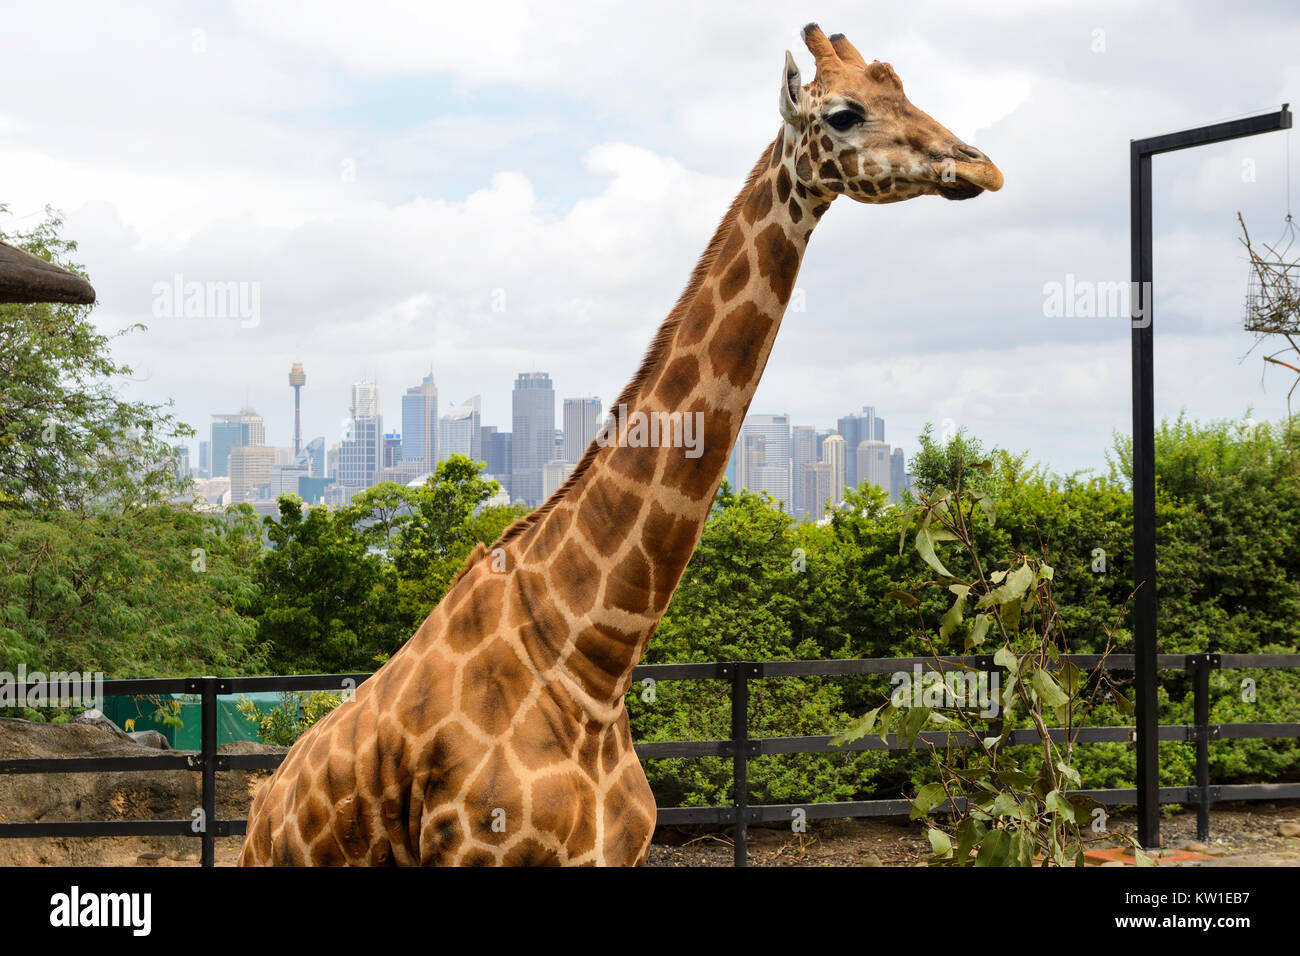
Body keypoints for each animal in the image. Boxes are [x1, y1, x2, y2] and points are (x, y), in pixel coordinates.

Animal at [239, 26, 998, 868]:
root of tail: (263, 801)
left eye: (906, 89)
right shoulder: (474, 855)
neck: (591, 666)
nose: (979, 165)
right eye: (842, 113)